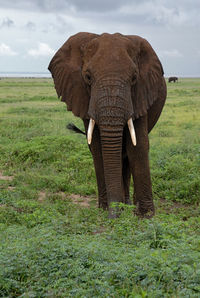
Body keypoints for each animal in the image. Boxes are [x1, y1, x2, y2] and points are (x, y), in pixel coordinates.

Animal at [47, 33, 166, 219]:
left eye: (134, 78)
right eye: (88, 77)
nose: (114, 215)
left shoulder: (141, 94)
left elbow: (137, 146)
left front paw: (145, 216)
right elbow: (97, 148)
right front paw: (105, 209)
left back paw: (129, 205)